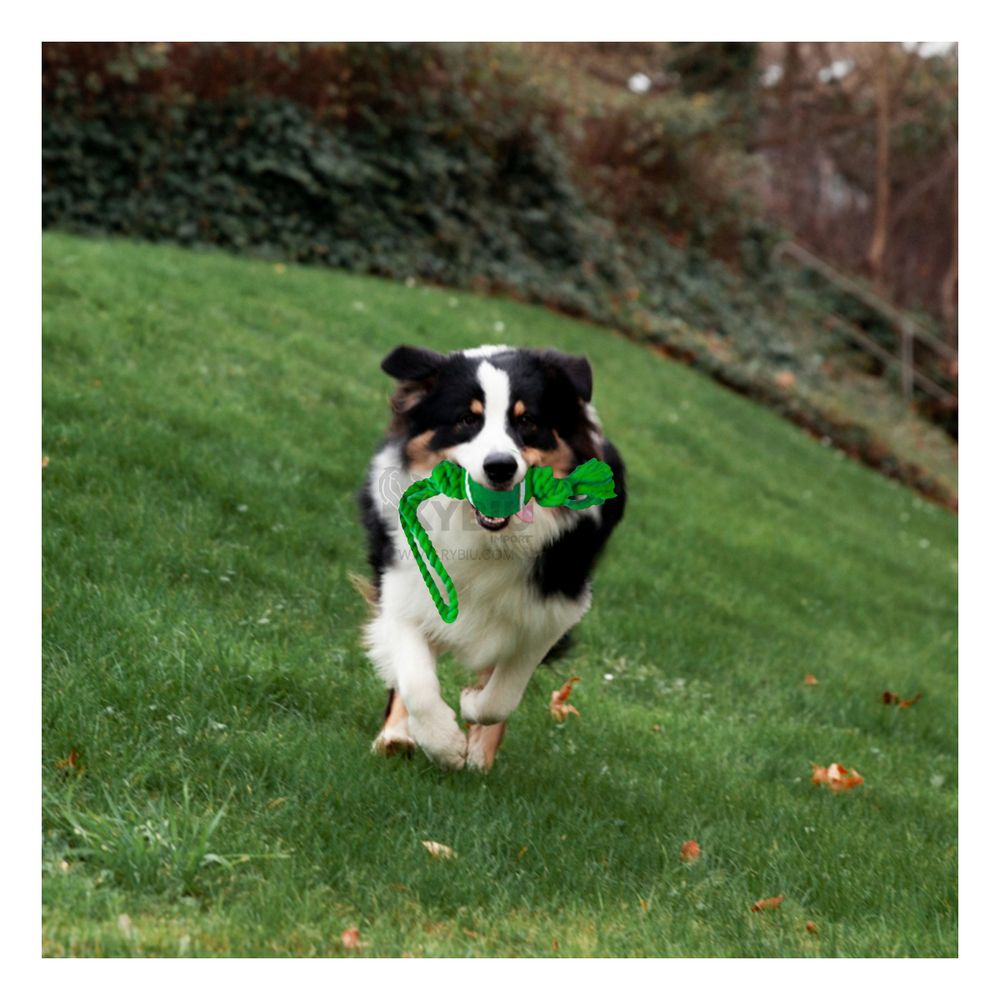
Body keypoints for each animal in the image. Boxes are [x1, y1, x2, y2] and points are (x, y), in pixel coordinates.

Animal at [360, 348, 624, 768]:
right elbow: (415, 679)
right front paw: (442, 741)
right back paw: (397, 737)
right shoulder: (401, 585)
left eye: (527, 421)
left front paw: (471, 710)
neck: (485, 537)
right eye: (468, 419)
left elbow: (503, 692)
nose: (500, 466)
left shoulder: (554, 609)